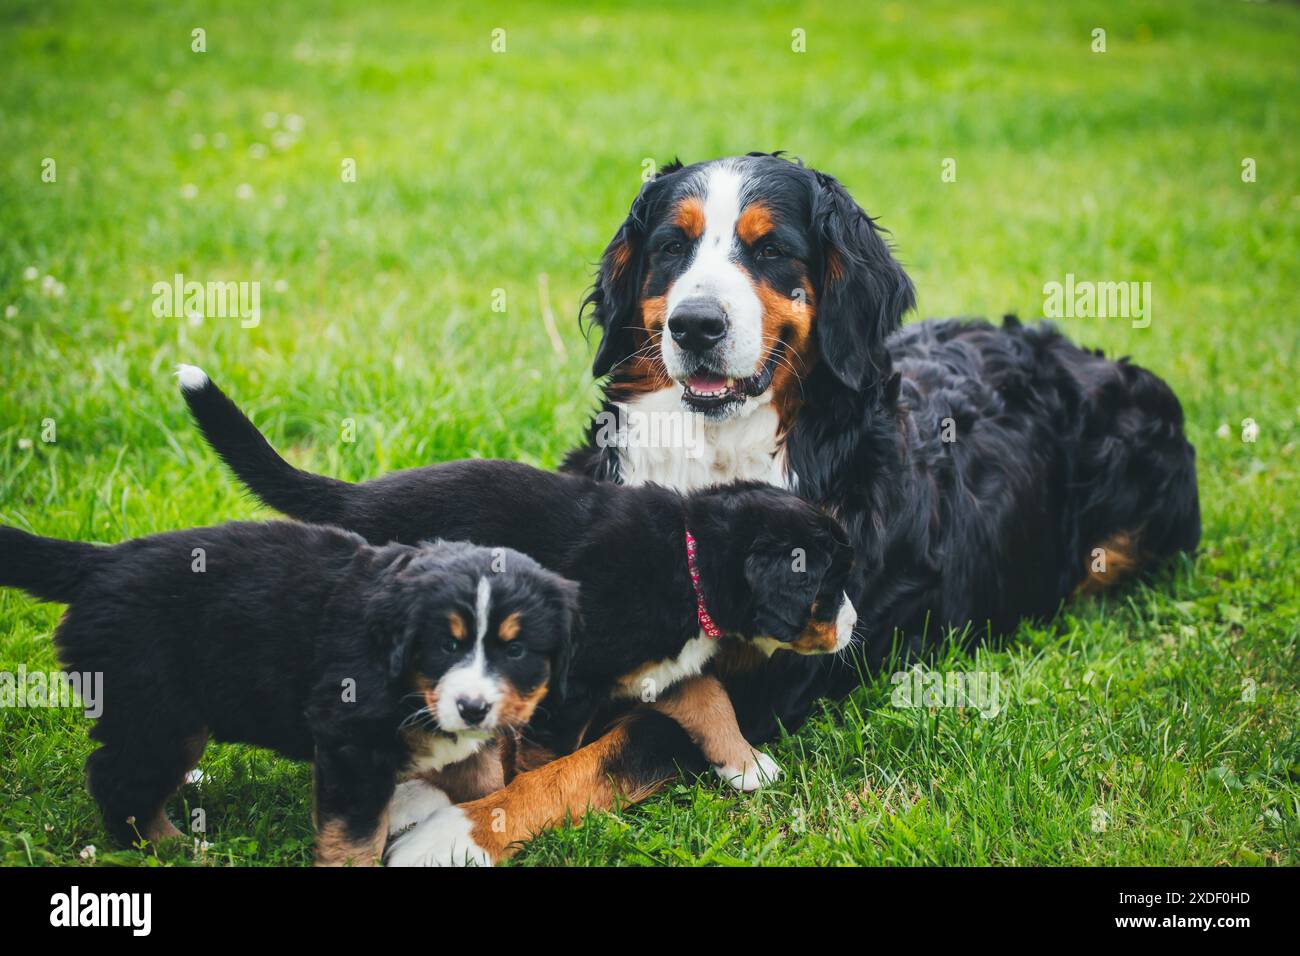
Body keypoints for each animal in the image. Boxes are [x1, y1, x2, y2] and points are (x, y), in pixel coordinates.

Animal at [0, 522, 574, 868]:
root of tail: (100, 562)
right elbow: (355, 833)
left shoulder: (466, 745)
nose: (473, 708)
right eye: (446, 645)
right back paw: (174, 846)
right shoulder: (351, 743)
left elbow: (485, 784)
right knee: (118, 779)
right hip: (156, 711)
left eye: (516, 650)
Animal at [382, 151, 1196, 868]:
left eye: (770, 249)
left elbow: (606, 754)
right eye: (672, 247)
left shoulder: (771, 670)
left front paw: (459, 830)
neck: (716, 458)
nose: (695, 324)